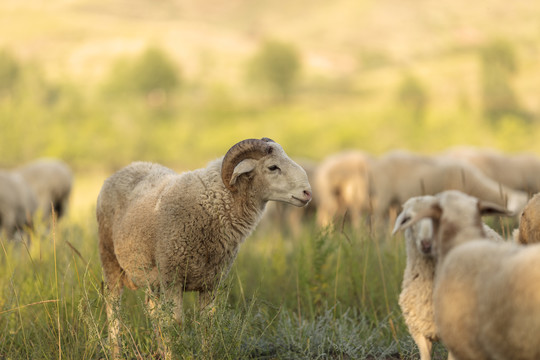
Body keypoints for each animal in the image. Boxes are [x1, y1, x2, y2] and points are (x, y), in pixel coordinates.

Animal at [95, 137, 310, 358]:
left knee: (153, 310)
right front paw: (173, 354)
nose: (308, 192)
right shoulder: (173, 279)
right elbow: (175, 324)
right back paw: (116, 351)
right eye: (273, 167)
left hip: (151, 277)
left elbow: (207, 325)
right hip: (109, 258)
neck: (212, 204)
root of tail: (129, 166)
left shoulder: (210, 282)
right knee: (113, 308)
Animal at [370, 150, 524, 225]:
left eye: (523, 209)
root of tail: (376, 164)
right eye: (516, 207)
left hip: (393, 203)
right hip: (383, 195)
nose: (518, 221)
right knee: (377, 220)